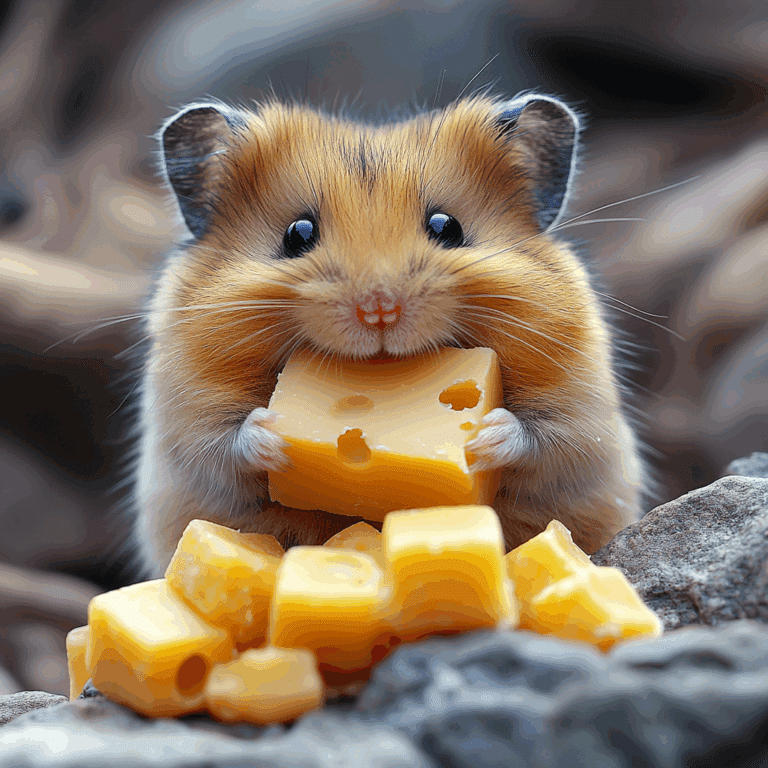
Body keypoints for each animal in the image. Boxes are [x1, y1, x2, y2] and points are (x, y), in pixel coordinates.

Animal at [131, 93, 645, 578]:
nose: (379, 311)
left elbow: (545, 438)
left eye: (447, 226)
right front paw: (273, 435)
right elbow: (222, 442)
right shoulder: (185, 418)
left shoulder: (583, 414)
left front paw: (485, 436)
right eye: (297, 233)